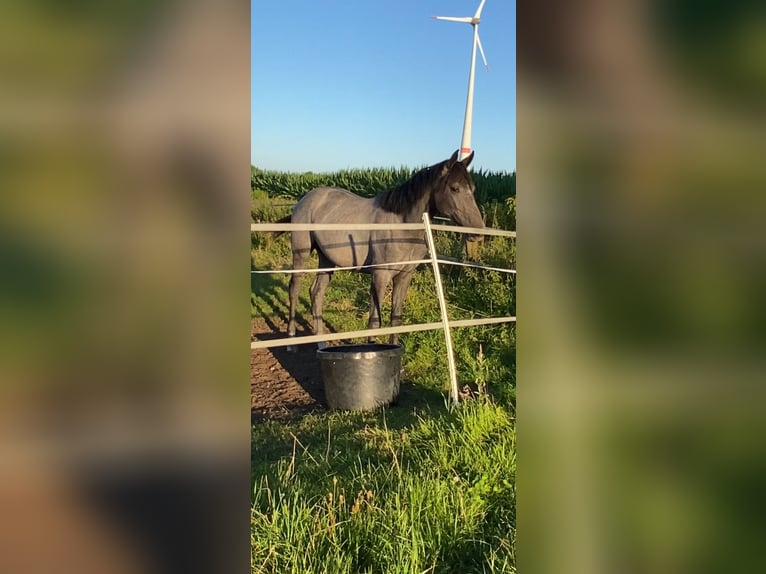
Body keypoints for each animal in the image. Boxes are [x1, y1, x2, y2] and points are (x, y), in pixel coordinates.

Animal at [282, 148, 484, 348]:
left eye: (473, 189)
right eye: (454, 188)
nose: (478, 231)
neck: (401, 225)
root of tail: (305, 199)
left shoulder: (404, 276)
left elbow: (395, 319)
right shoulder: (380, 276)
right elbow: (375, 321)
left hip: (327, 259)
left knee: (316, 292)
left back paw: (321, 341)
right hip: (301, 253)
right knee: (295, 288)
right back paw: (291, 339)